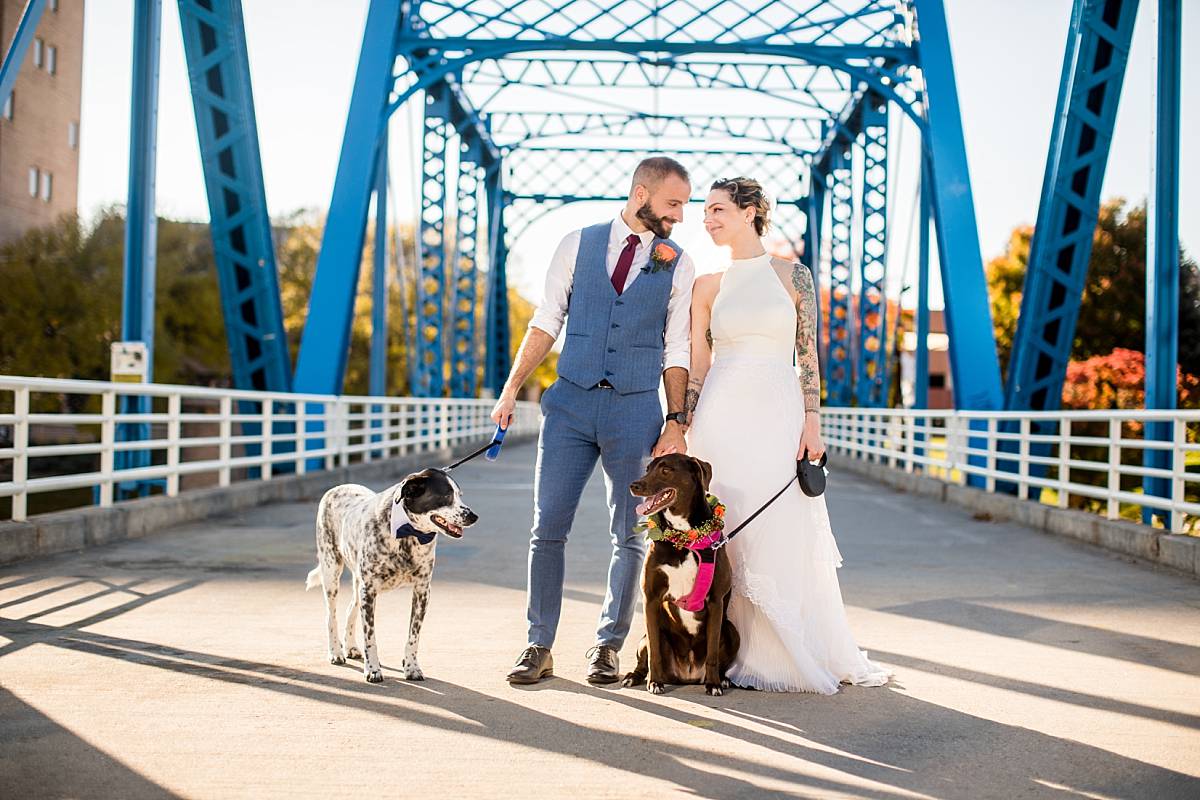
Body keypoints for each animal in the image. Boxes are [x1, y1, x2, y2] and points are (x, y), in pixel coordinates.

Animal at [304, 472, 477, 686]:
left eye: (460, 495)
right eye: (446, 495)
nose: (474, 517)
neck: (407, 532)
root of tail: (338, 488)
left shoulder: (422, 590)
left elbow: (413, 636)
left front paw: (411, 667)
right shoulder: (369, 591)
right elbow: (370, 638)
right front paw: (372, 670)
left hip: (358, 584)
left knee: (350, 609)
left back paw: (350, 646)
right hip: (332, 570)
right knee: (331, 615)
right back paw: (335, 651)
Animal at [624, 455, 734, 695]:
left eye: (666, 470)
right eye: (648, 468)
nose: (634, 485)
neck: (684, 538)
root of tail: (687, 675)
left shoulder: (716, 601)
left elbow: (712, 652)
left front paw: (713, 684)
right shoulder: (651, 599)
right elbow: (654, 652)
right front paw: (654, 682)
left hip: (731, 630)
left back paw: (722, 679)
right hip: (646, 636)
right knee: (645, 655)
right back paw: (633, 677)